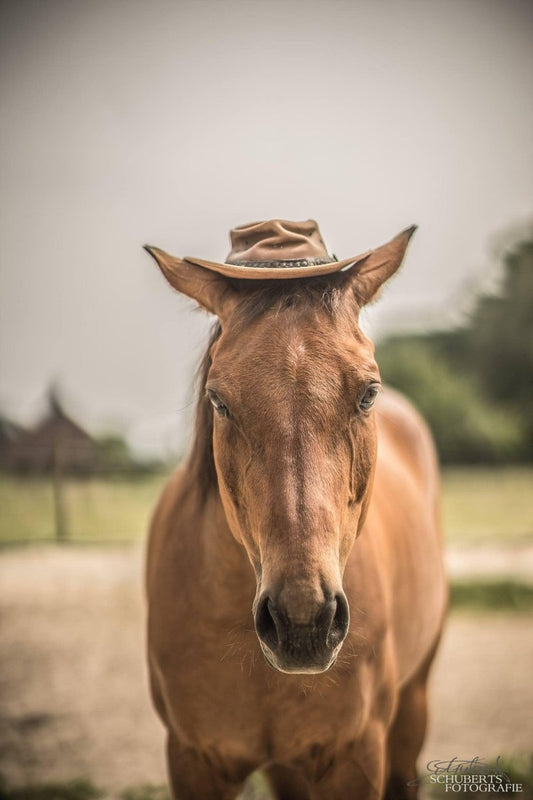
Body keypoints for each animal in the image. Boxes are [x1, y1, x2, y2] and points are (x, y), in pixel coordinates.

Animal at [143, 225, 446, 800]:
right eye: (219, 401)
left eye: (368, 393)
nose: (302, 620)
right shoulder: (193, 760)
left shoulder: (356, 758)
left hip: (414, 704)